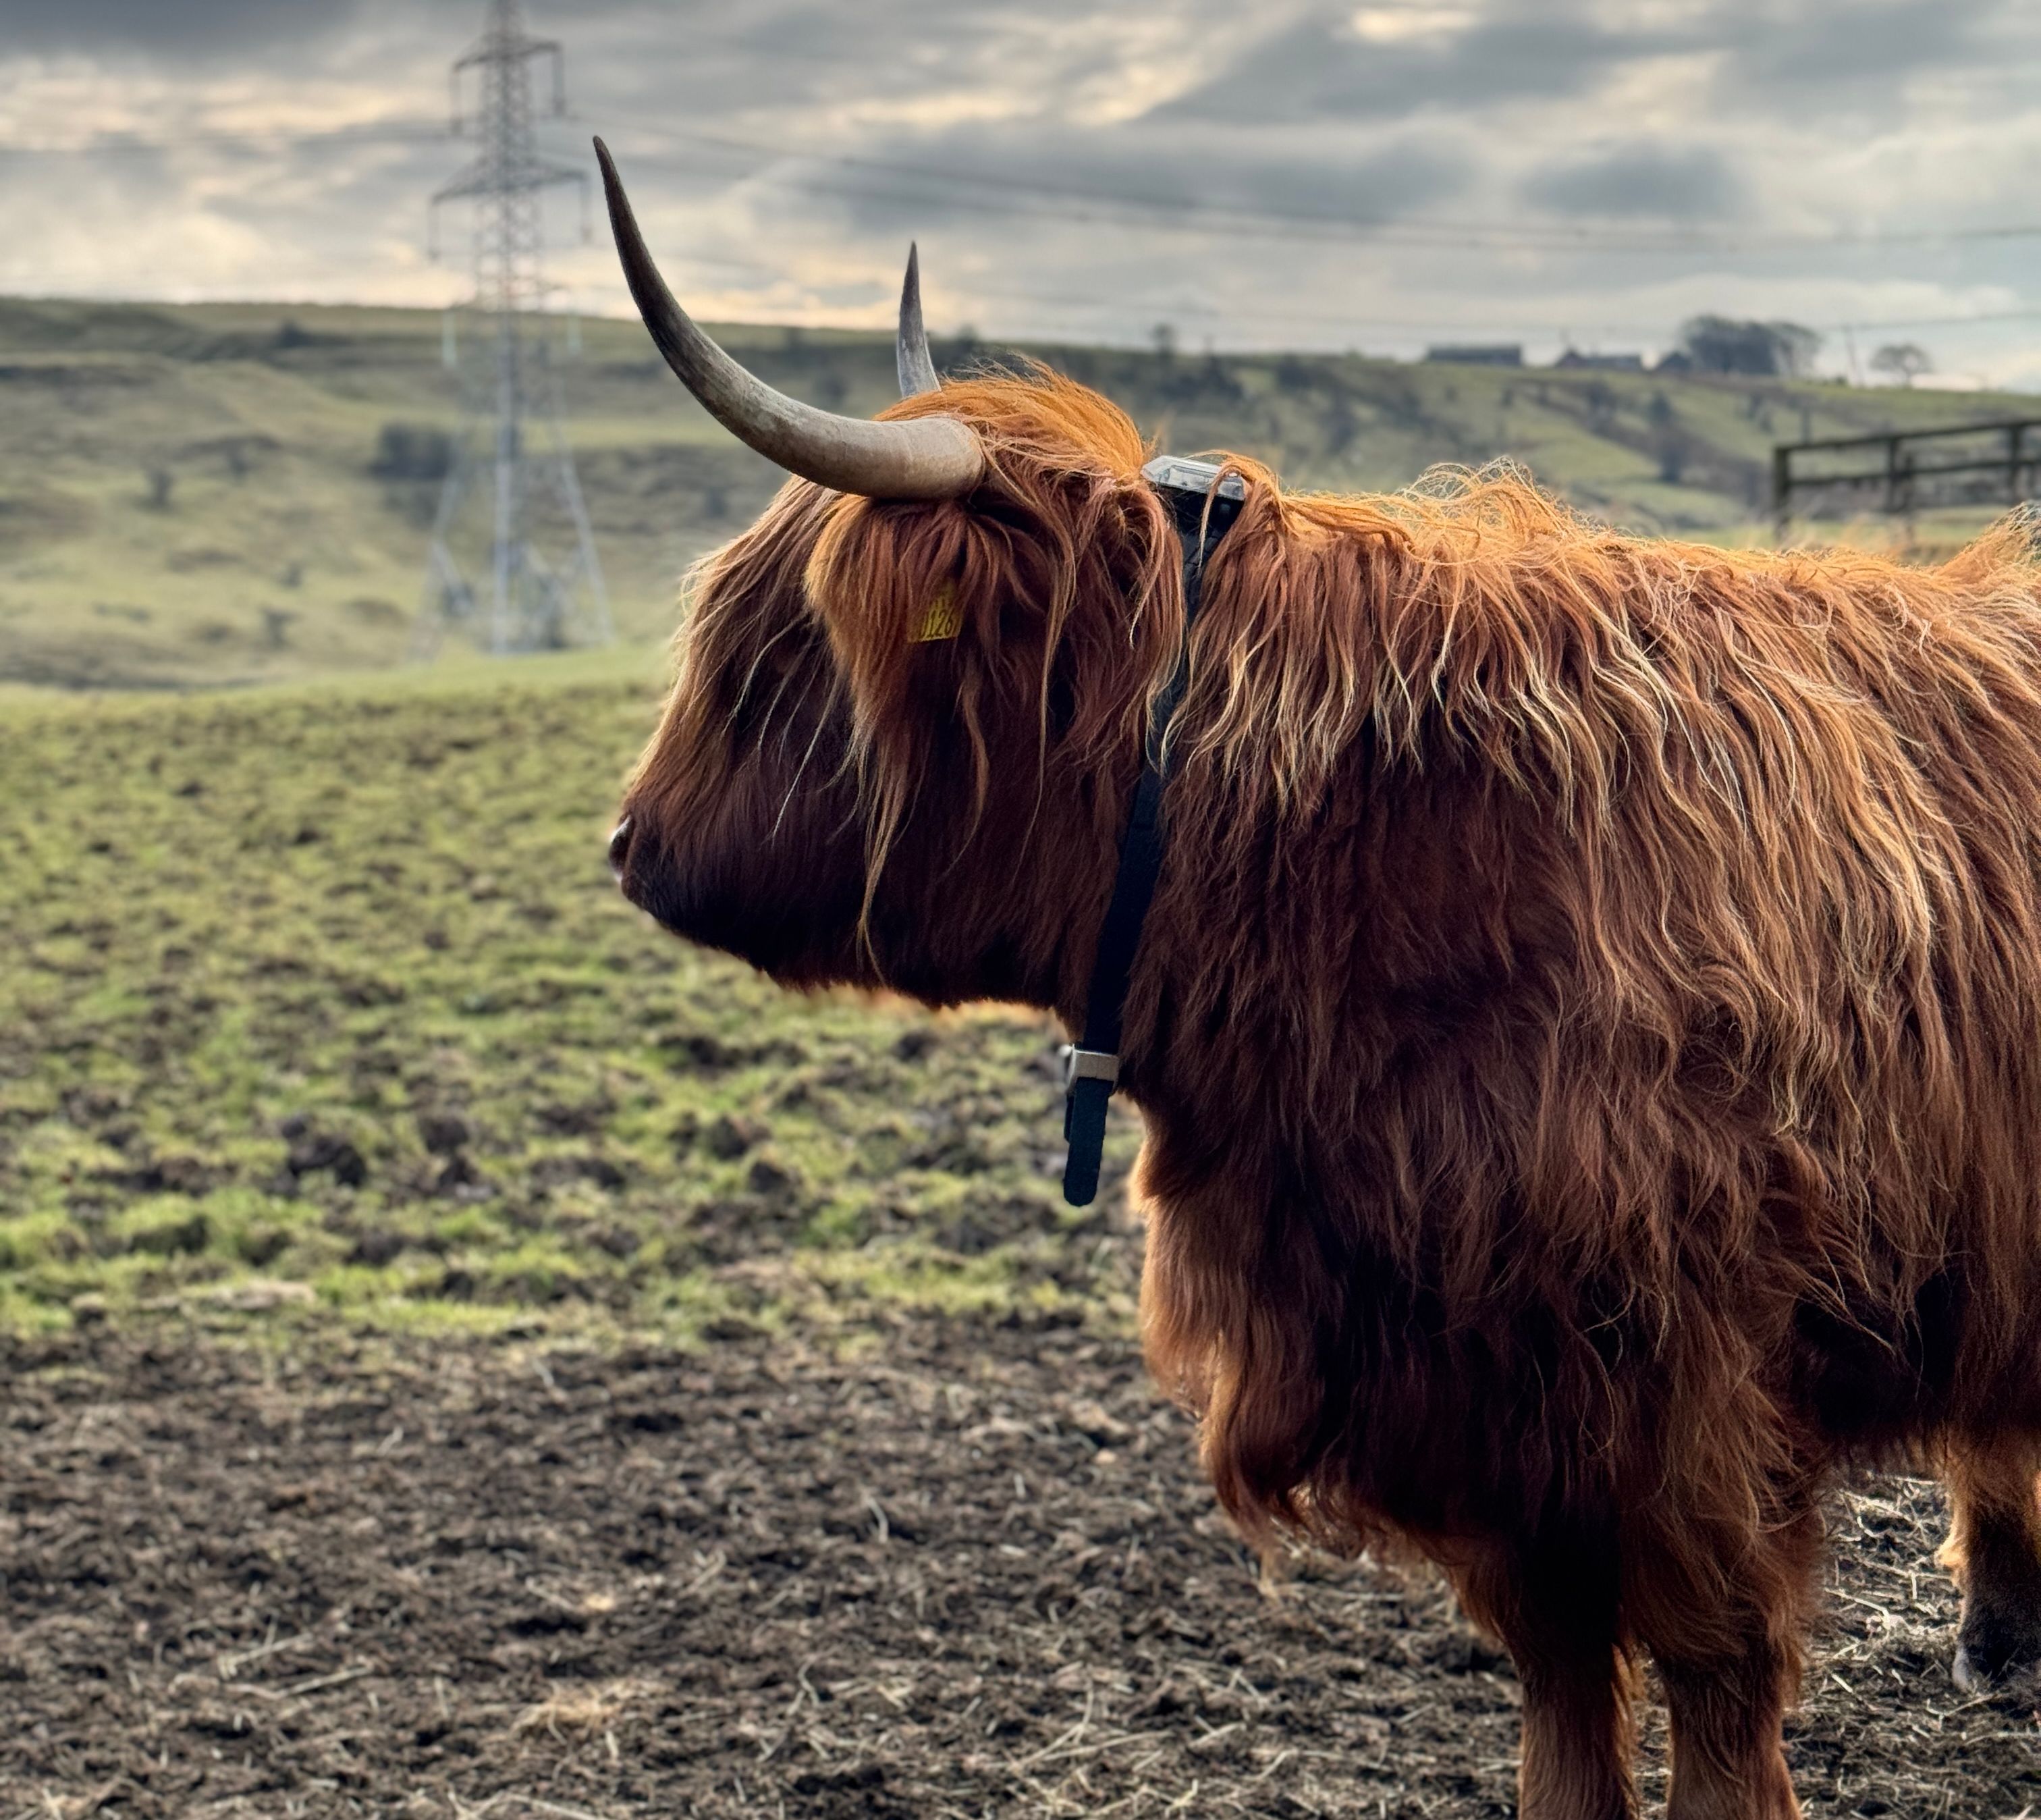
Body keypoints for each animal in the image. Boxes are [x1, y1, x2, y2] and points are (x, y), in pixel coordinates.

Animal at [596, 146, 2041, 1820]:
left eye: (780, 661)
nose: (631, 845)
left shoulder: (1685, 1382)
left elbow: (1716, 1670)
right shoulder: (1486, 1395)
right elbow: (1562, 1676)